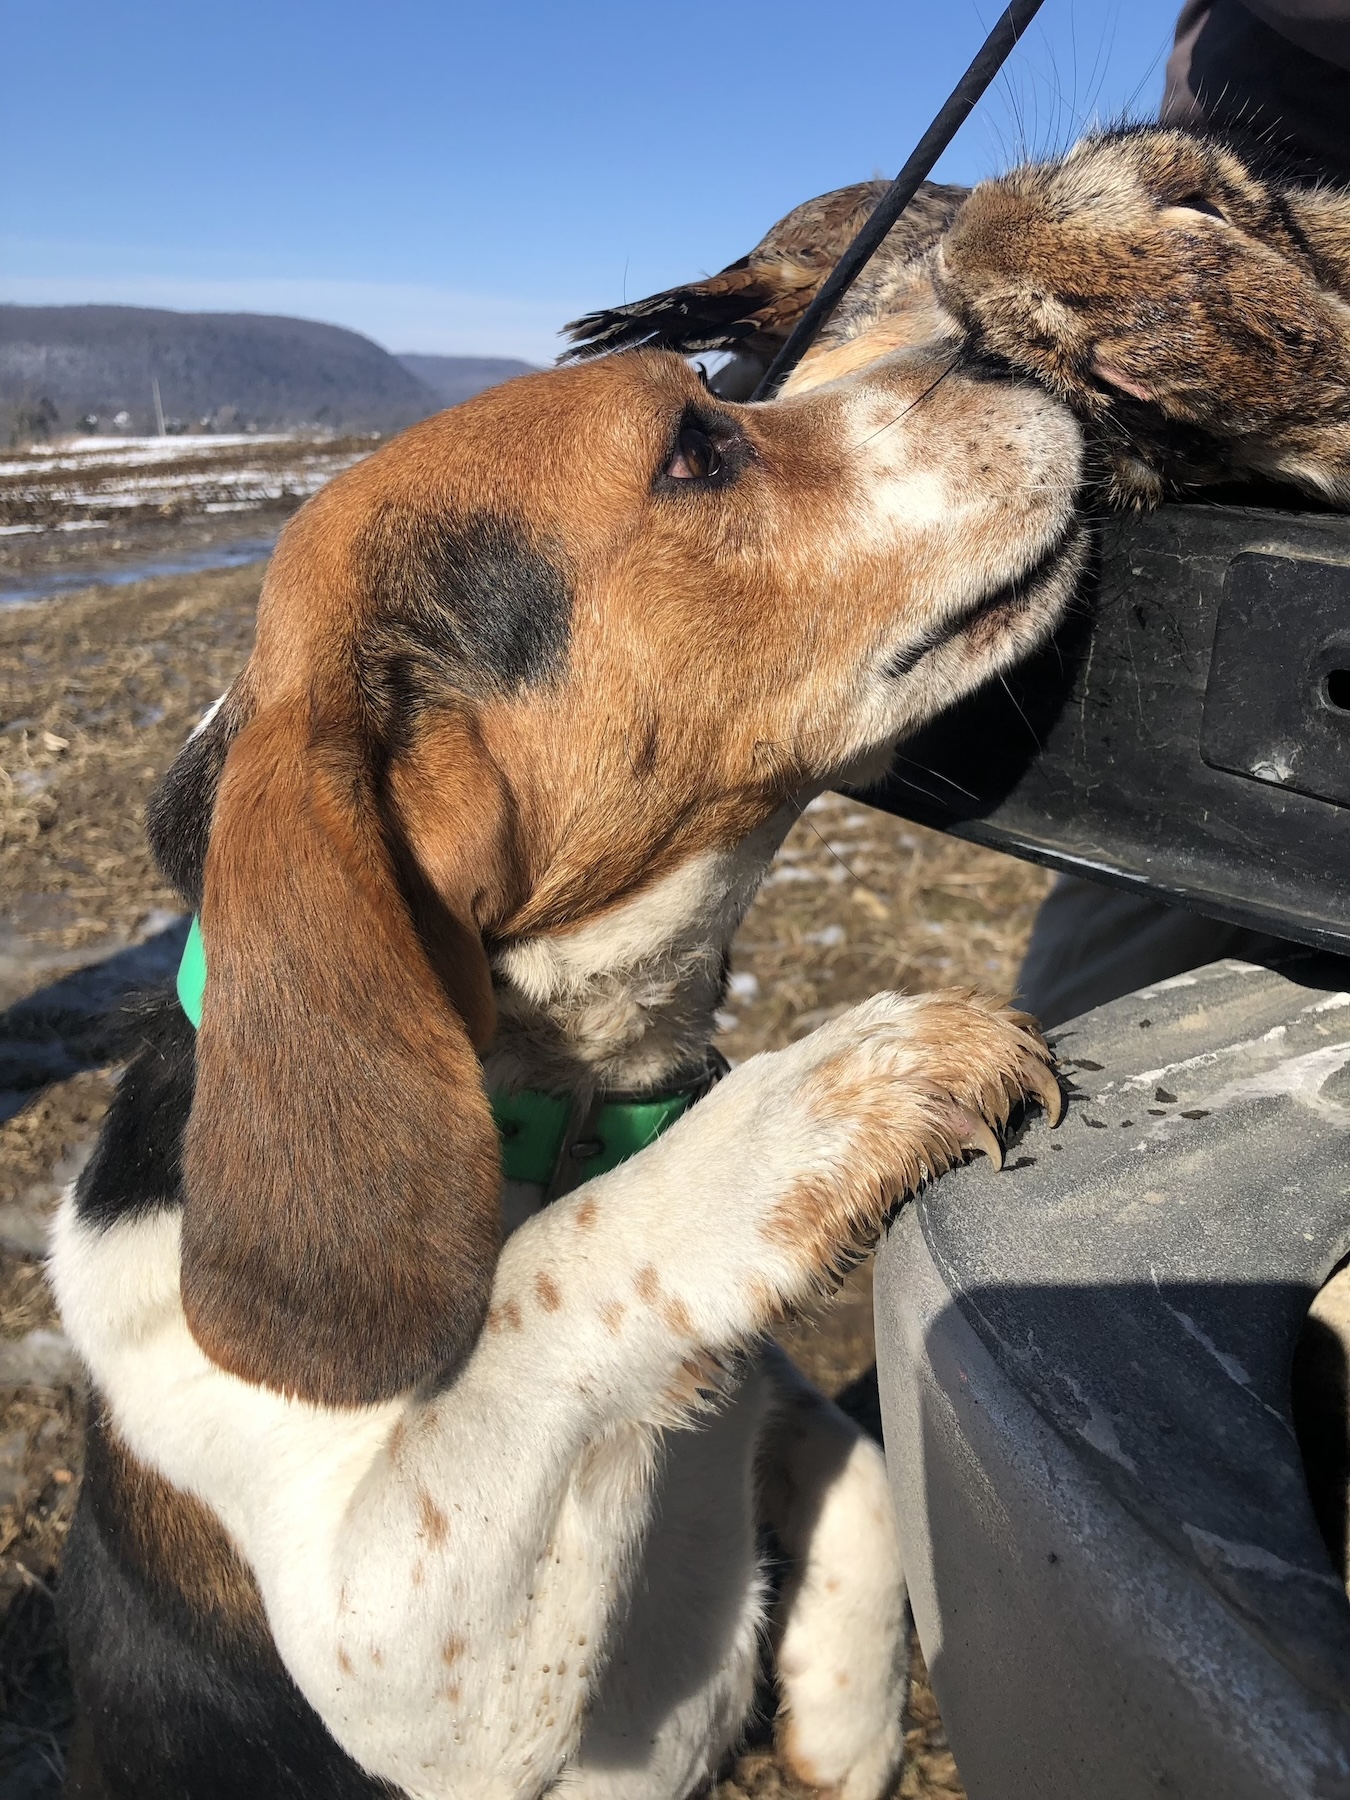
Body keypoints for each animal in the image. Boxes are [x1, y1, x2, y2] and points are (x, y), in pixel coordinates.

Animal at [52, 340, 1087, 1800]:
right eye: (694, 449)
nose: (997, 345)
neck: (553, 1106)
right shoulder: (402, 1654)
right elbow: (553, 1271)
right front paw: (829, 1097)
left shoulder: (746, 1401)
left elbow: (860, 1474)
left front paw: (843, 1723)